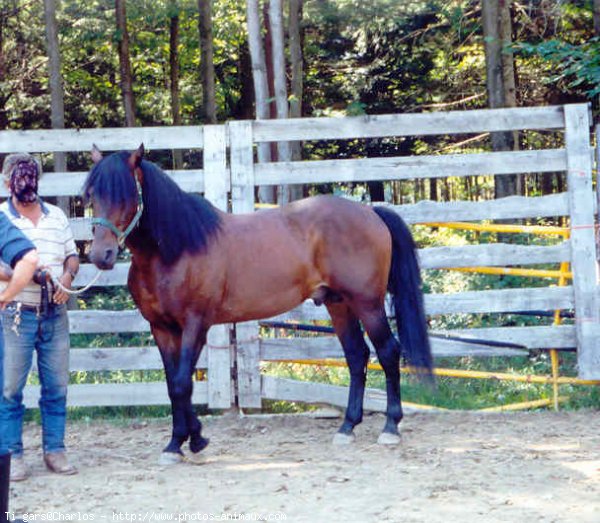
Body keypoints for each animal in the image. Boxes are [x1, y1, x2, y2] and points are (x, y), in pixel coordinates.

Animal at [84, 143, 432, 462]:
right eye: (91, 196)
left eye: (126, 195)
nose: (101, 255)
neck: (175, 250)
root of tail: (370, 212)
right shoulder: (161, 328)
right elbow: (174, 385)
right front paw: (180, 441)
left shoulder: (196, 324)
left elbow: (183, 382)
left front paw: (192, 441)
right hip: (339, 304)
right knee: (357, 356)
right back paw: (347, 427)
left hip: (367, 303)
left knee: (388, 352)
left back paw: (390, 427)